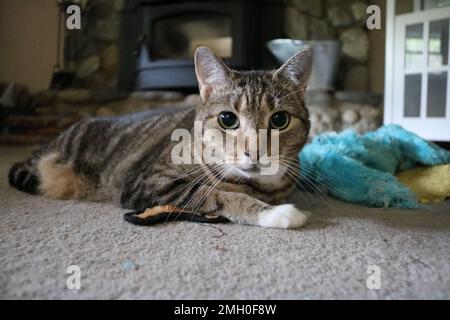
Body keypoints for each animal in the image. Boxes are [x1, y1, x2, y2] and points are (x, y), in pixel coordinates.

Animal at [9, 46, 312, 229]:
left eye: (280, 120)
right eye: (227, 119)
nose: (255, 152)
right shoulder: (148, 184)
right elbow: (214, 193)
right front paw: (274, 212)